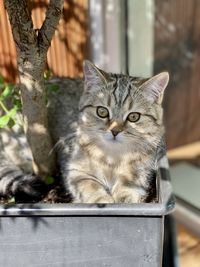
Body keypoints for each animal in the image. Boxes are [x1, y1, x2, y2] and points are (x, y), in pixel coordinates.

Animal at [0, 60, 169, 203]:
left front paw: (123, 198)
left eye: (134, 117)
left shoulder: (141, 171)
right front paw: (103, 200)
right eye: (102, 112)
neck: (113, 158)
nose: (115, 131)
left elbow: (129, 185)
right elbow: (90, 187)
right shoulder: (74, 170)